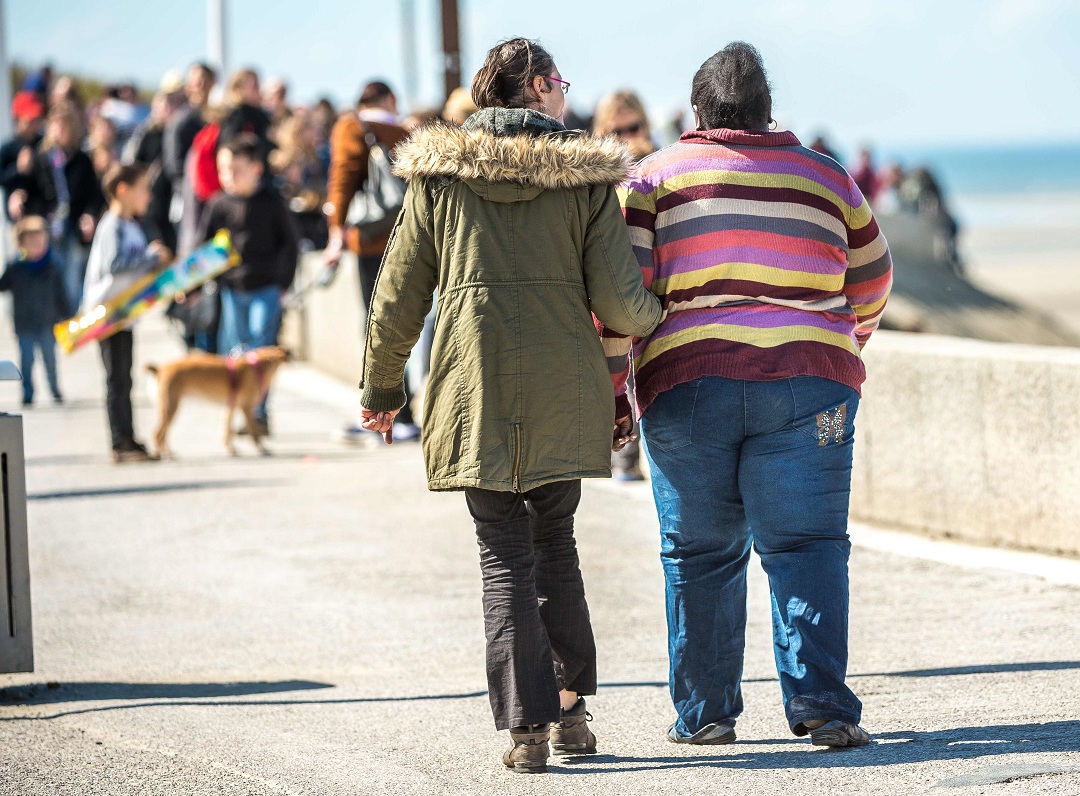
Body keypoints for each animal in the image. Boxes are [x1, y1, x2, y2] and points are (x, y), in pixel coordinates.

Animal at [150, 345, 291, 455]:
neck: (257, 367)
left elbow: (227, 430)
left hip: (169, 408)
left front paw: (231, 449)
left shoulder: (230, 407)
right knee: (158, 433)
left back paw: (168, 452)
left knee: (164, 433)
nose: (289, 353)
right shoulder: (246, 408)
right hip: (170, 407)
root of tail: (160, 369)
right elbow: (254, 432)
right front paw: (261, 448)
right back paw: (162, 454)